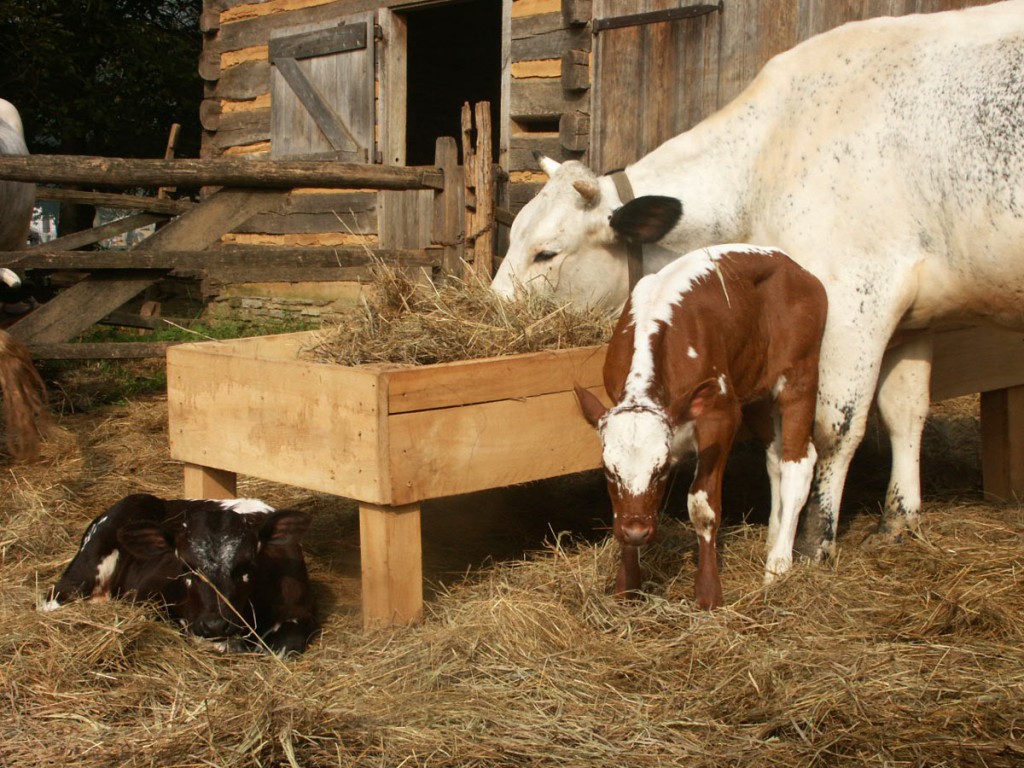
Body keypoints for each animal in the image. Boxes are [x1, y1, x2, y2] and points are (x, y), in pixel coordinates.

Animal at [41, 495, 317, 659]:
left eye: (247, 565)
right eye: (185, 567)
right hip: (83, 571)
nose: (215, 625)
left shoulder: (299, 612)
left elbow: (282, 645)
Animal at [489, 4, 1024, 565]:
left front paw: (812, 542)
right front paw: (898, 522)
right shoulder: (912, 312)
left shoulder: (855, 299)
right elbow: (905, 410)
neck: (767, 162)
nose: (490, 308)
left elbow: (832, 429)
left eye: (546, 252)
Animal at [581, 244, 827, 606]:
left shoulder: (720, 416)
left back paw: (778, 566)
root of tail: (793, 266)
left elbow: (703, 506)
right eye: (609, 471)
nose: (637, 531)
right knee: (776, 459)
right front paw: (627, 587)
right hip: (756, 392)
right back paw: (773, 539)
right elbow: (620, 509)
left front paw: (709, 593)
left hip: (800, 375)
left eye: (660, 470)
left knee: (798, 463)